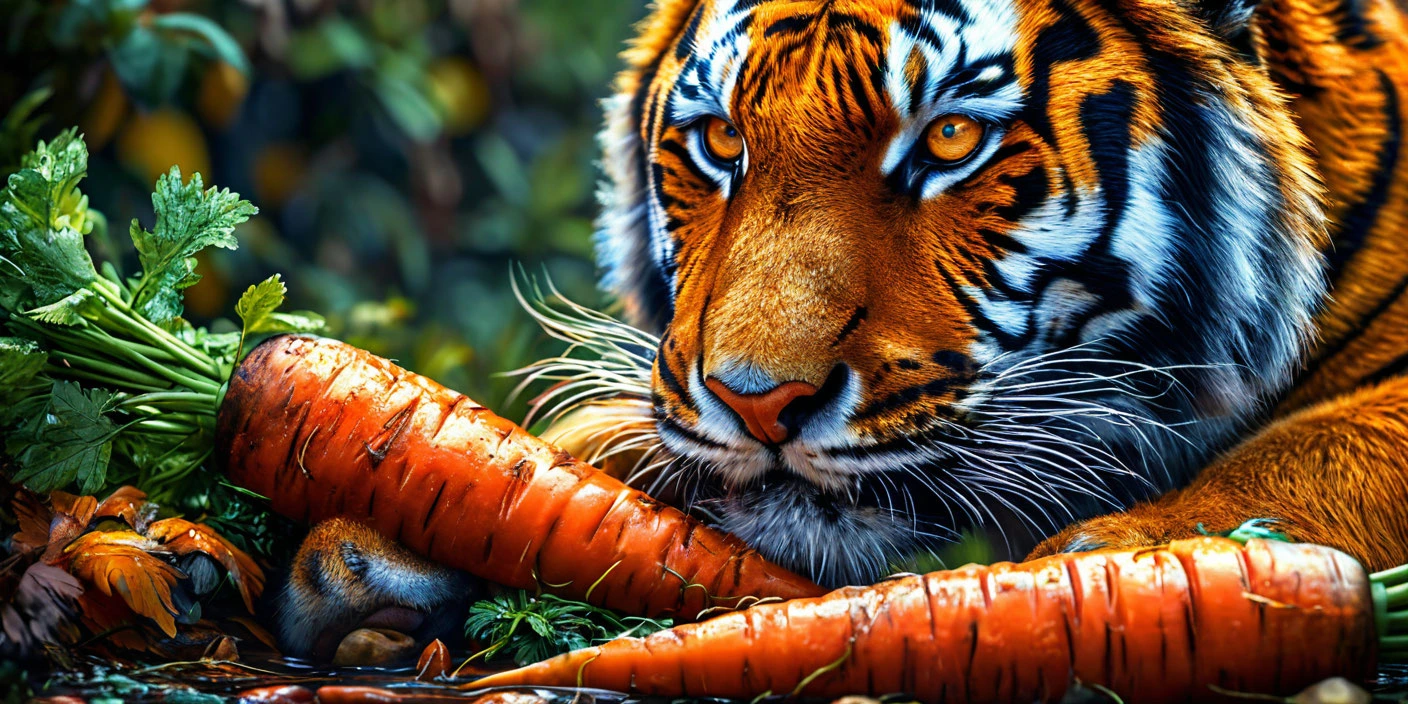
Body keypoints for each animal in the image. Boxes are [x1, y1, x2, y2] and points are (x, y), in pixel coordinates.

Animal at [278, 0, 1408, 656]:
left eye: (949, 137)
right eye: (720, 139)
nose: (757, 402)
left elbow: (1315, 457)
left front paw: (1120, 563)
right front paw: (376, 542)